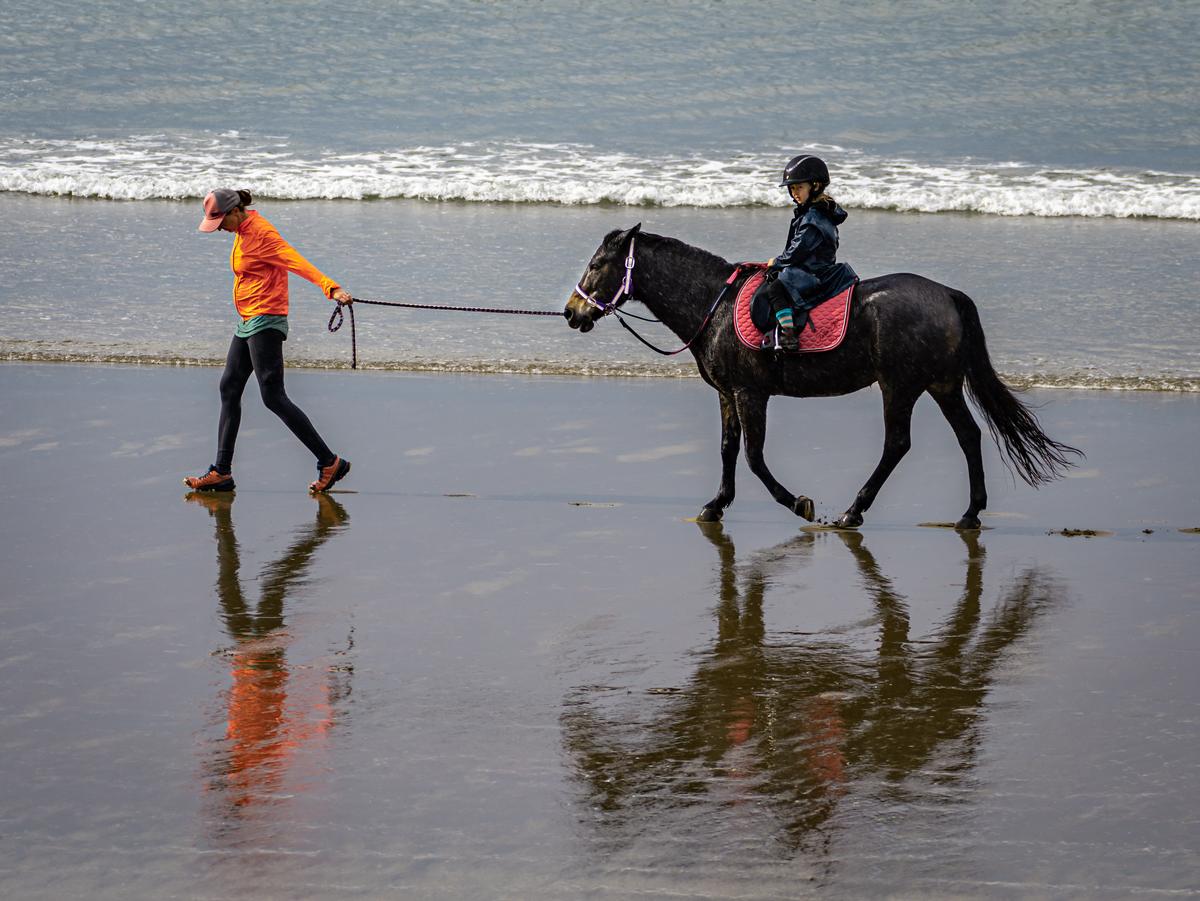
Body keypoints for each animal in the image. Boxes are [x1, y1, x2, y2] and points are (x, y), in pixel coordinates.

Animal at [561, 225, 1080, 532]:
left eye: (596, 264)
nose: (571, 312)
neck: (715, 306)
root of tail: (948, 294)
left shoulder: (751, 393)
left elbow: (753, 457)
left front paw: (798, 503)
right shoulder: (728, 394)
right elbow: (729, 449)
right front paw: (716, 505)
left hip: (900, 385)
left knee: (898, 444)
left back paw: (854, 511)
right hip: (942, 384)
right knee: (969, 435)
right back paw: (970, 514)